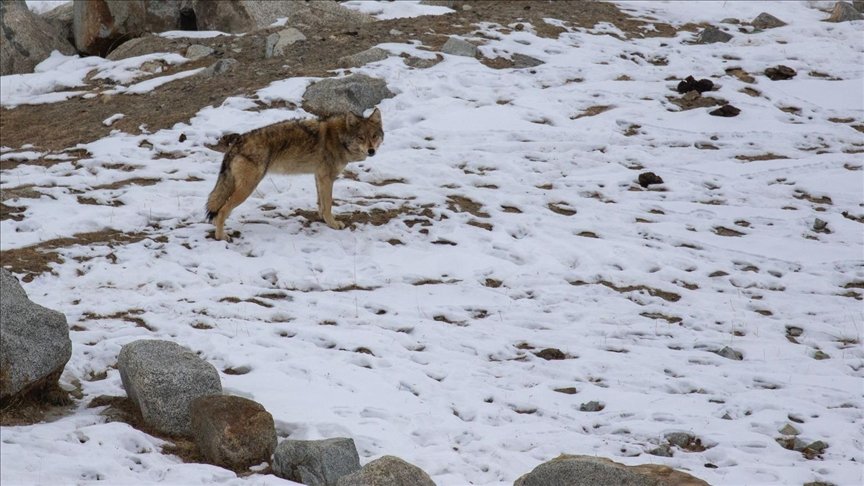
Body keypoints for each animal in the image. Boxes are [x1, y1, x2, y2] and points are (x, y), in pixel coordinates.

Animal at [205, 108, 383, 240]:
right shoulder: (327, 178)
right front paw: (333, 224)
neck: (340, 138)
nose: (371, 151)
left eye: (374, 136)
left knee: (218, 210)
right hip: (247, 189)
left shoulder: (319, 176)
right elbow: (328, 204)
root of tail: (237, 142)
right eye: (361, 137)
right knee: (222, 210)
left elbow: (321, 204)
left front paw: (323, 219)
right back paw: (221, 237)